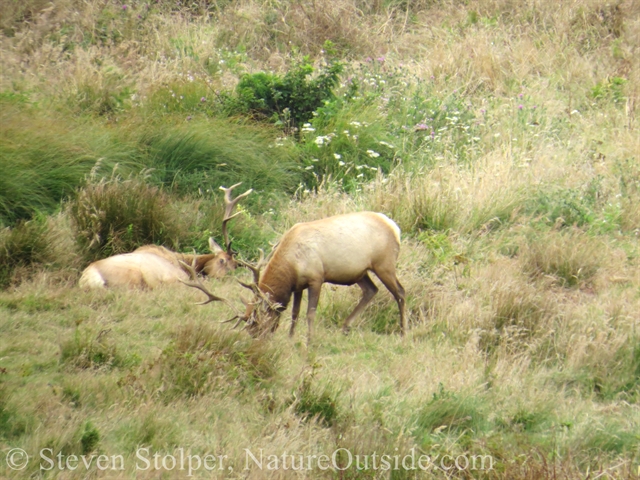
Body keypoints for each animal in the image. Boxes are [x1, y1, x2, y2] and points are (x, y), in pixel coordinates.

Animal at [79, 184, 251, 288]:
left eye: (235, 267)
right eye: (222, 260)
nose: (223, 280)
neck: (184, 262)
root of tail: (88, 278)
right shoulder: (176, 278)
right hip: (133, 277)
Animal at [184, 212, 404, 344]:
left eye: (257, 323)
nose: (258, 342)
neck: (291, 264)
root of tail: (395, 227)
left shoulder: (316, 278)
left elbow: (310, 313)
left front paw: (309, 341)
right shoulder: (298, 285)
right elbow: (295, 312)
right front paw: (290, 337)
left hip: (384, 264)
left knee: (400, 292)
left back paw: (404, 331)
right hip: (360, 272)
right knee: (371, 290)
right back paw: (345, 327)